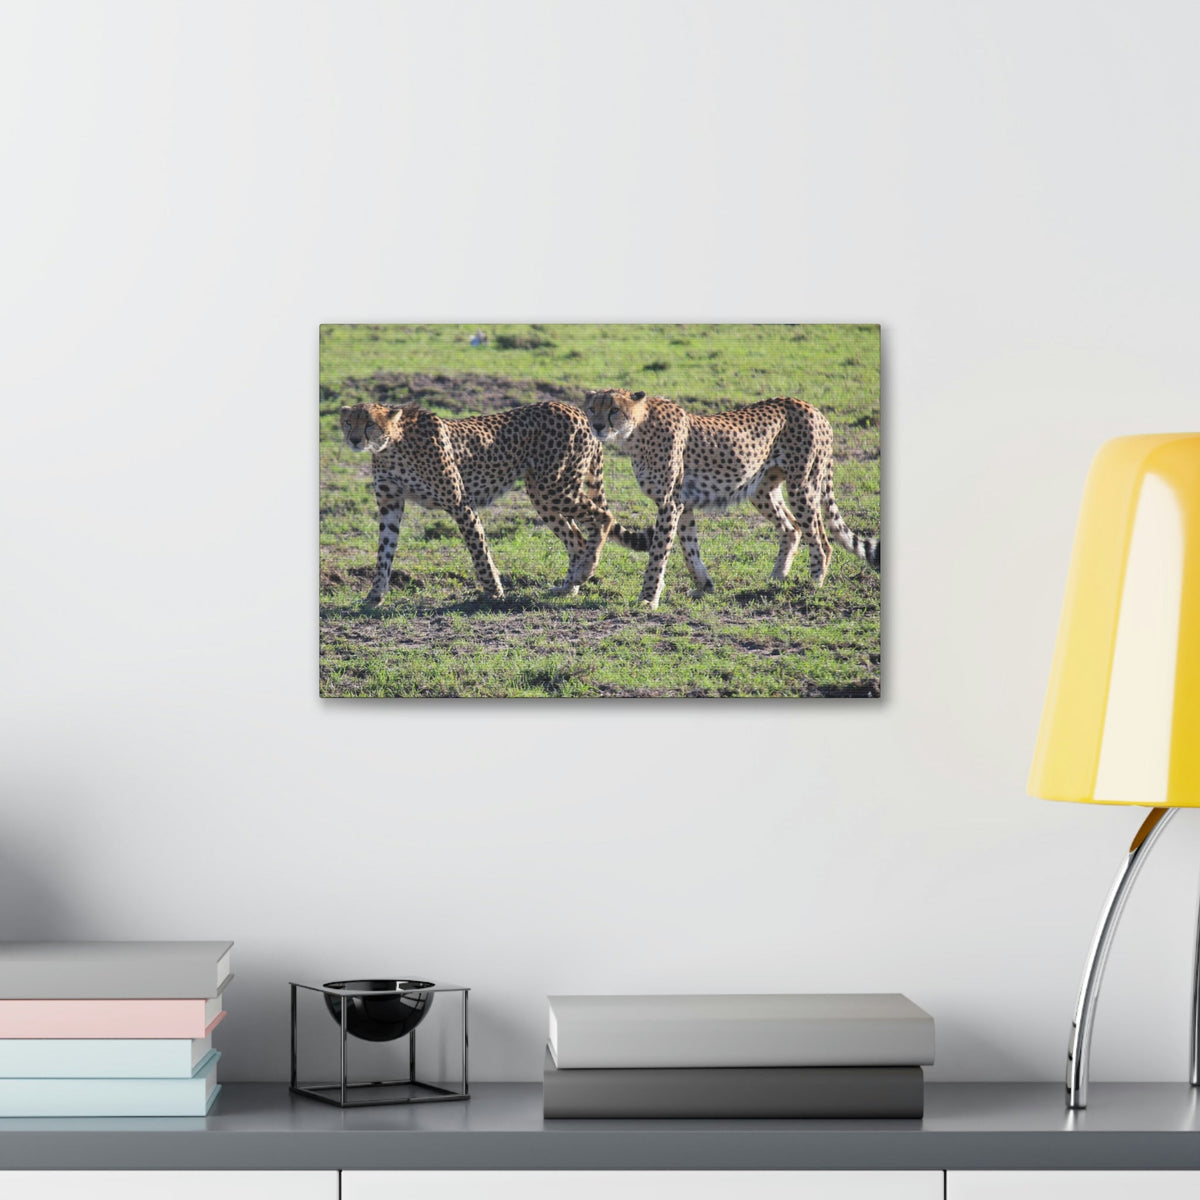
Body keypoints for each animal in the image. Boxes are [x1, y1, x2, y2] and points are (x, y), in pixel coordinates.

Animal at [338, 400, 648, 604]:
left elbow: (478, 549)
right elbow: (384, 552)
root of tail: (577, 410)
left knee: (602, 518)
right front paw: (374, 595)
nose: (353, 440)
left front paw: (494, 592)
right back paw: (569, 587)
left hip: (554, 487)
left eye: (369, 424)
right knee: (577, 539)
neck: (391, 446)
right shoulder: (390, 505)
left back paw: (585, 571)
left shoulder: (460, 503)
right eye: (348, 423)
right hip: (542, 494)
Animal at [582, 388, 880, 610]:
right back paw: (776, 578)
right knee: (791, 527)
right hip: (760, 488)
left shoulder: (669, 503)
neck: (635, 431)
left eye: (613, 410)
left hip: (803, 485)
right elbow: (689, 548)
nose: (597, 426)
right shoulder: (683, 503)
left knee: (820, 539)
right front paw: (703, 586)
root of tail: (811, 407)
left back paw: (813, 584)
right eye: (592, 409)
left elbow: (659, 552)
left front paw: (648, 597)